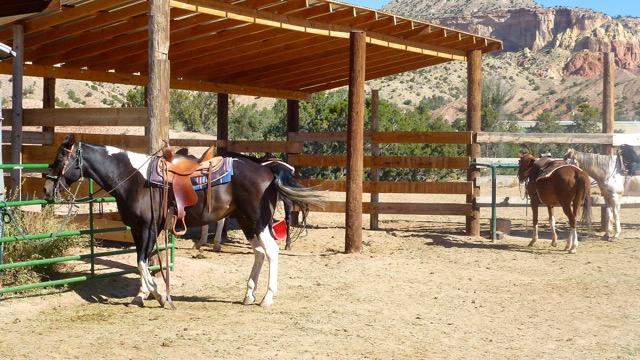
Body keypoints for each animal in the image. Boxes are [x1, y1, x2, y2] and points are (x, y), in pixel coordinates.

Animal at [43, 135, 320, 306]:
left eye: (60, 158)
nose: (46, 189)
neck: (133, 177)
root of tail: (267, 169)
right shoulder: (137, 228)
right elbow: (142, 260)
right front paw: (142, 295)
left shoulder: (148, 227)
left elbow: (142, 261)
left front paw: (158, 294)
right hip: (246, 221)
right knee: (260, 252)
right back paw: (248, 294)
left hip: (258, 219)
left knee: (271, 251)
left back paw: (266, 298)